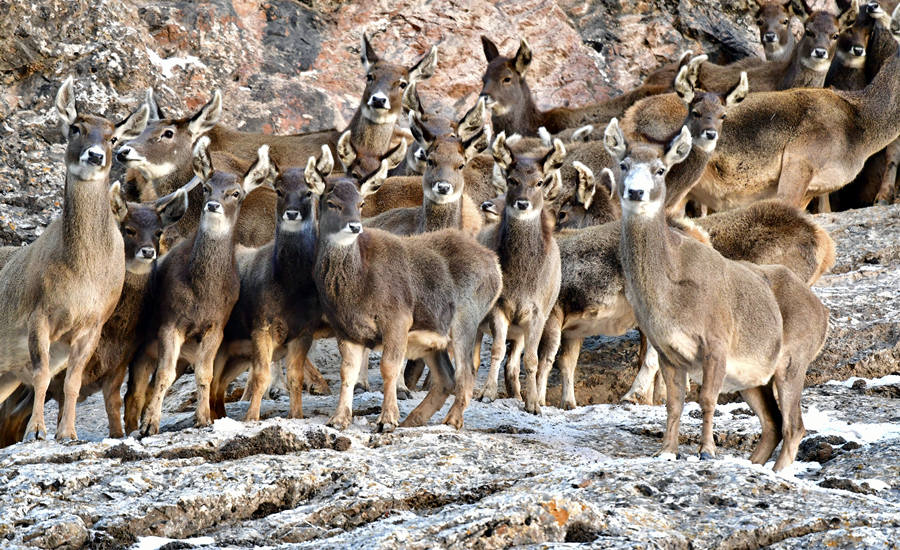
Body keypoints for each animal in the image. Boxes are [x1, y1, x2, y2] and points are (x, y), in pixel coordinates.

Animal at [616, 126, 828, 474]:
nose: (636, 192)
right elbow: (674, 404)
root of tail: (823, 314)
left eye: (660, 169)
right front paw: (666, 451)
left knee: (794, 426)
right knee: (773, 423)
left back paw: (776, 471)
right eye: (623, 164)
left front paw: (707, 452)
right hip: (752, 379)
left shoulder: (716, 342)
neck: (671, 293)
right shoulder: (668, 351)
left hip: (794, 360)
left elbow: (706, 399)